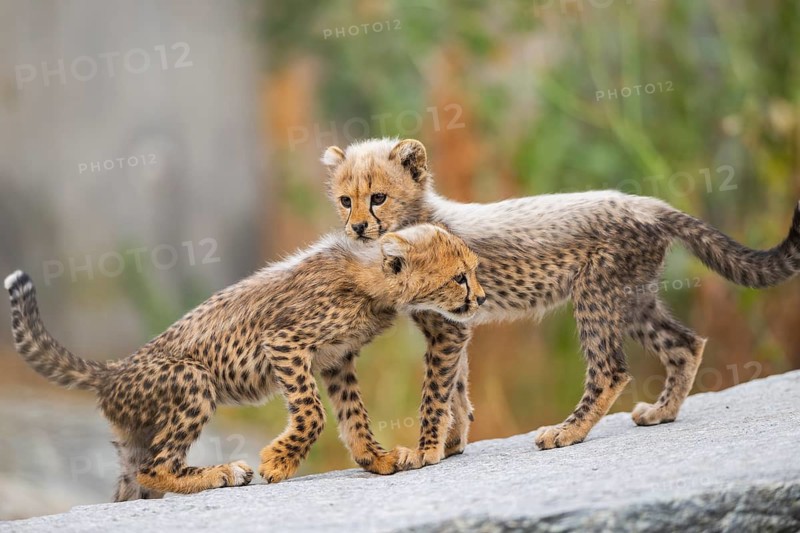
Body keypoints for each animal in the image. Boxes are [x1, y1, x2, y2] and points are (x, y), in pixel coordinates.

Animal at [5, 223, 485, 501]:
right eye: (459, 277)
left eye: (473, 273)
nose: (479, 299)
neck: (372, 282)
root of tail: (114, 369)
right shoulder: (285, 342)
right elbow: (312, 412)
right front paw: (278, 463)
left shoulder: (337, 360)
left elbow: (354, 415)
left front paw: (376, 459)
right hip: (194, 381)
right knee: (155, 467)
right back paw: (220, 473)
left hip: (134, 437)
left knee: (134, 480)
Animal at [321, 137, 800, 468]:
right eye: (345, 201)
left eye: (378, 197)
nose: (357, 227)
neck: (414, 225)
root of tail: (644, 201)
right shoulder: (454, 326)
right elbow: (457, 386)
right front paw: (453, 443)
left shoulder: (448, 327)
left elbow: (435, 391)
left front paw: (426, 450)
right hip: (632, 297)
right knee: (685, 343)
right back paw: (662, 412)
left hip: (595, 294)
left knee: (610, 369)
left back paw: (567, 432)